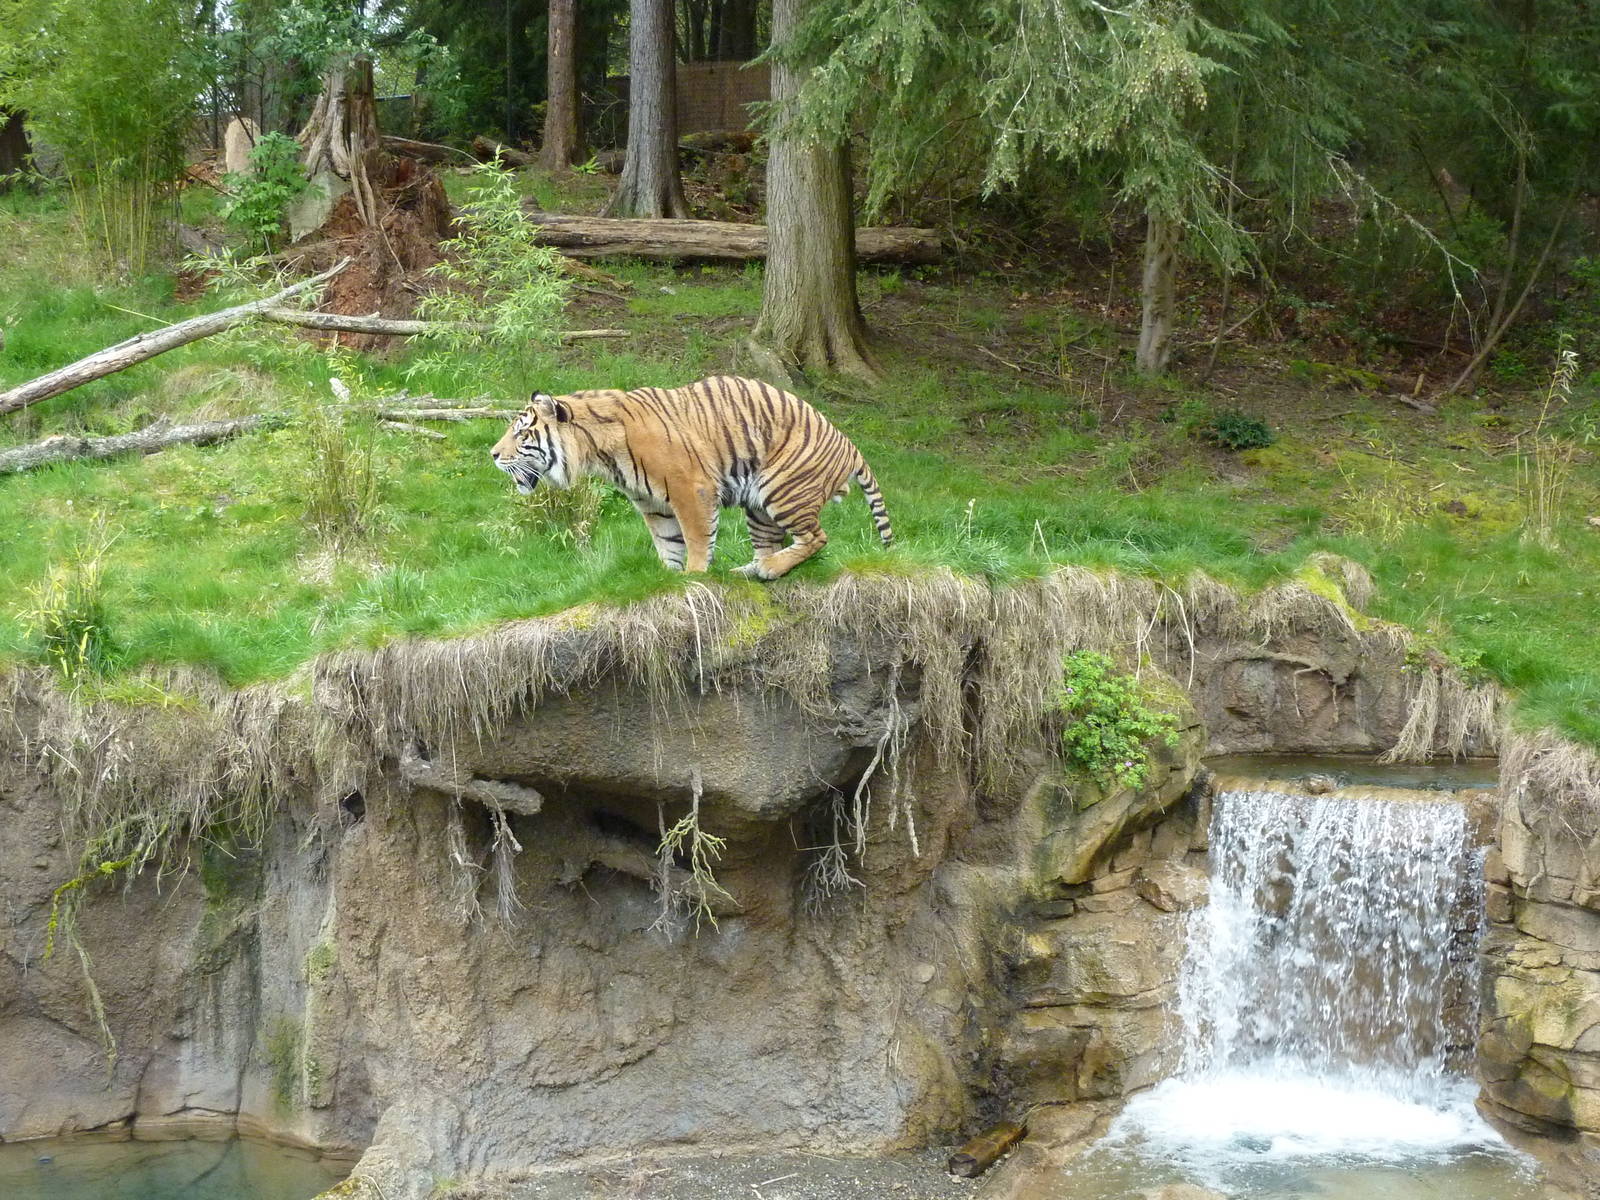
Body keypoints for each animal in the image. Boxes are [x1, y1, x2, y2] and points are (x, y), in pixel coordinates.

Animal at [489, 375, 893, 580]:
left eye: (521, 433)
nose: (492, 454)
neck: (598, 452)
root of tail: (851, 446)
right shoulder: (653, 504)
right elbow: (668, 542)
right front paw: (667, 580)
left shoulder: (691, 489)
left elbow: (697, 538)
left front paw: (694, 577)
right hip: (758, 508)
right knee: (773, 543)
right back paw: (753, 570)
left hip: (782, 489)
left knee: (816, 538)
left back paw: (768, 568)